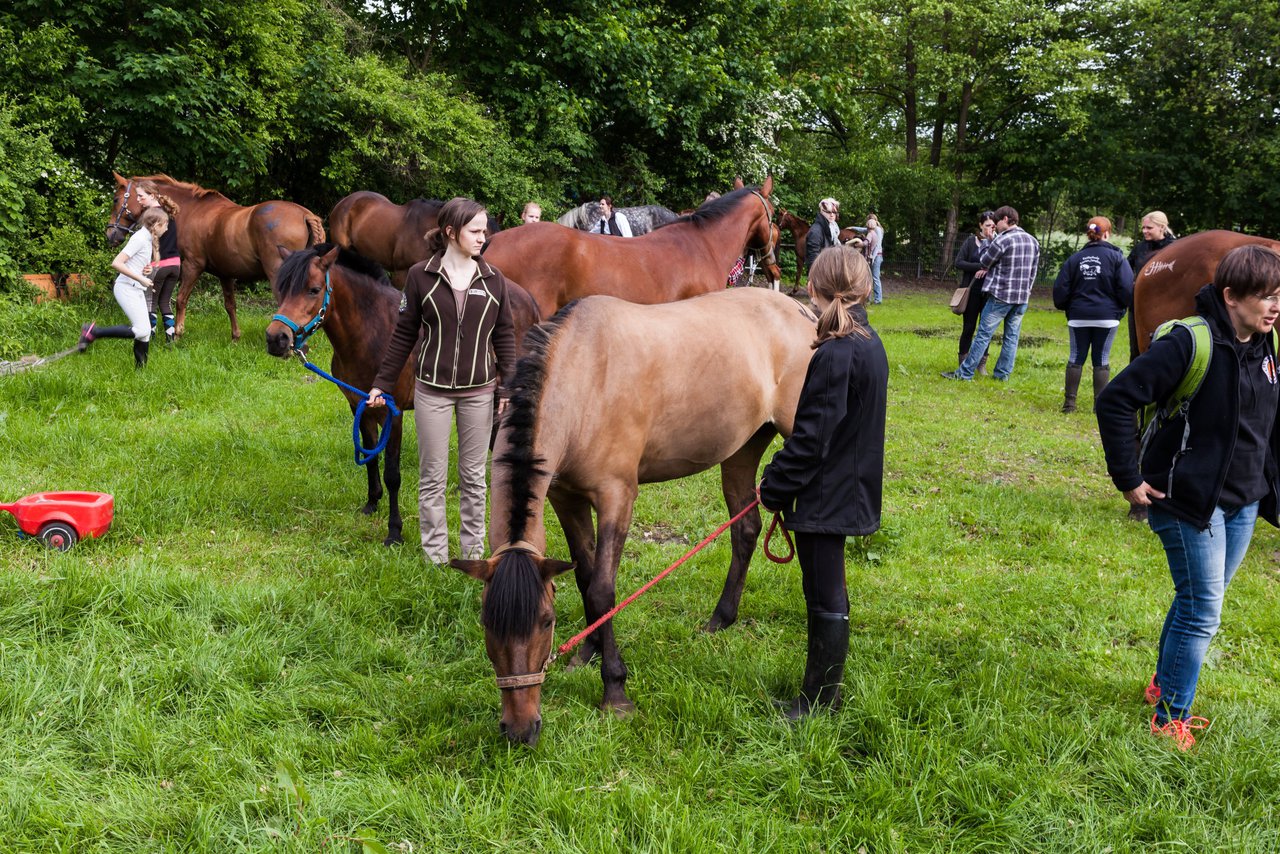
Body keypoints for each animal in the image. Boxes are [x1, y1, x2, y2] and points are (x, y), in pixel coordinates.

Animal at [108, 172, 325, 340]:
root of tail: (305, 214)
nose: (110, 234)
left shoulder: (192, 266)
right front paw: (235, 337)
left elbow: (181, 299)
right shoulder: (225, 274)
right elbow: (230, 305)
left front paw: (178, 333)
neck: (190, 211)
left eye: (116, 199)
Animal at [262, 243, 542, 545]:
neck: (371, 334)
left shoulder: (391, 414)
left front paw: (394, 531)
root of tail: (528, 299)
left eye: (313, 290)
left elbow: (392, 474)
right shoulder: (360, 406)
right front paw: (371, 503)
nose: (276, 338)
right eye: (281, 289)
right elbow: (370, 457)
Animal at [445, 289, 814, 747]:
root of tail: (804, 312)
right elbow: (584, 578)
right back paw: (720, 620)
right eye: (486, 623)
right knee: (746, 530)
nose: (519, 729)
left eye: (546, 621)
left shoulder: (617, 497)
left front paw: (615, 691)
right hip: (742, 449)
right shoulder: (567, 499)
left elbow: (603, 589)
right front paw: (587, 652)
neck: (584, 378)